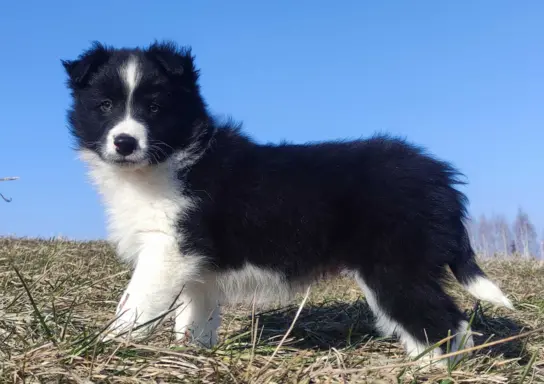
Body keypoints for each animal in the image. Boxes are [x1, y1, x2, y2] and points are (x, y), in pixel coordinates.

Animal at [63, 41, 516, 364]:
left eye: (154, 108)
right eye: (105, 106)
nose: (124, 142)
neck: (170, 160)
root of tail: (441, 178)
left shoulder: (168, 250)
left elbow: (135, 305)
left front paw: (110, 347)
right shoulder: (196, 267)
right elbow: (196, 316)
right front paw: (194, 355)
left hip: (395, 268)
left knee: (441, 323)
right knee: (448, 323)